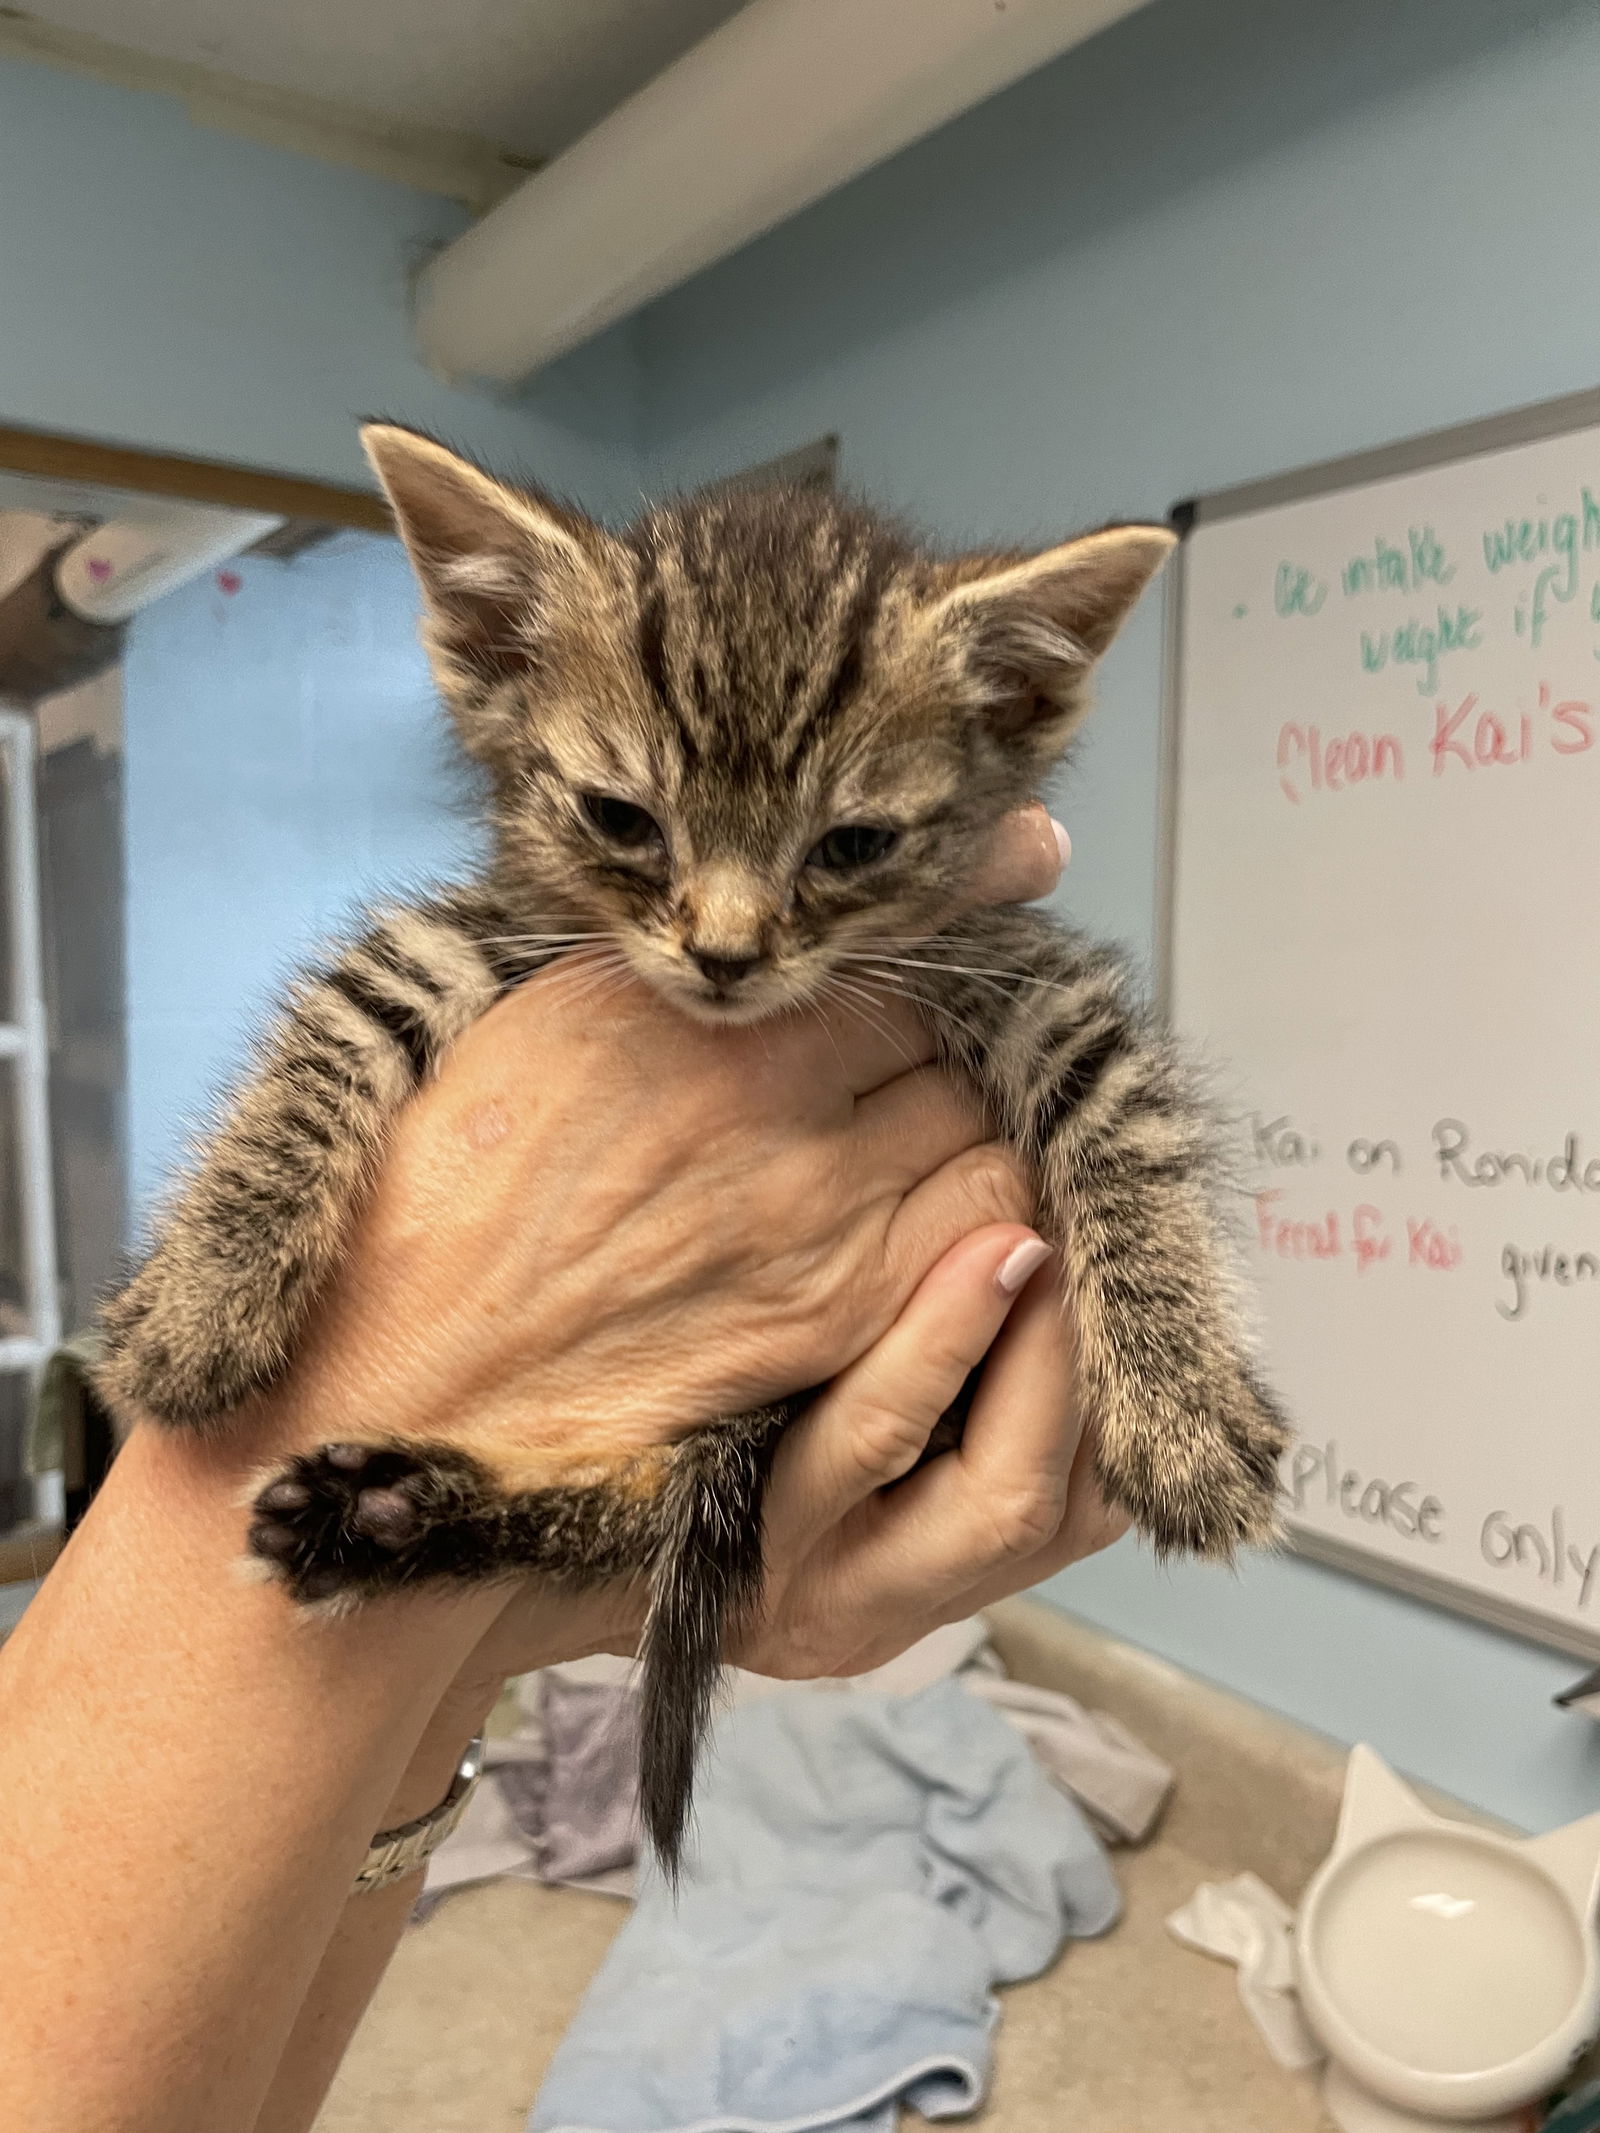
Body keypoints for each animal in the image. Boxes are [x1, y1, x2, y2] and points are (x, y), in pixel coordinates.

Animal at [97, 428, 1288, 1868]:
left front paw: (1182, 1401)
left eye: (853, 845)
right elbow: (340, 1016)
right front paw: (205, 1292)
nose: (725, 954)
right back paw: (375, 1513)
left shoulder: (1028, 978)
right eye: (622, 817)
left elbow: (1131, 1130)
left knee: (652, 1502)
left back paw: (387, 1513)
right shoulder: (484, 926)